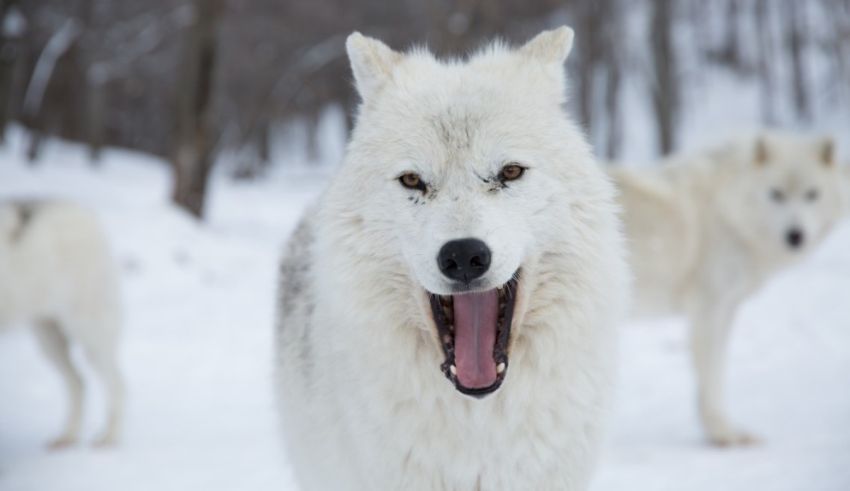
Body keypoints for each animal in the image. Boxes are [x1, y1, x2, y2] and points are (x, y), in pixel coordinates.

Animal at [0, 201, 124, 448]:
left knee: (117, 383)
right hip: (48, 336)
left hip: (89, 331)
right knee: (78, 381)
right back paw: (68, 436)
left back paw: (109, 437)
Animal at [613, 133, 845, 446]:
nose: (795, 235)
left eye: (812, 194)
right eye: (776, 194)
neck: (727, 209)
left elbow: (717, 370)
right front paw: (723, 434)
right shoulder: (709, 307)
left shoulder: (728, 307)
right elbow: (712, 374)